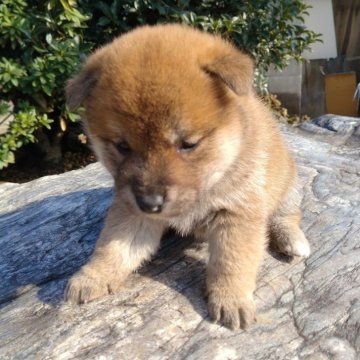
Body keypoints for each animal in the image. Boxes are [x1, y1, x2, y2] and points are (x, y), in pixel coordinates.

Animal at [64, 23, 310, 330]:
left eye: (189, 144)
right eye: (122, 146)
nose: (150, 203)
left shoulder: (238, 212)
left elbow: (232, 262)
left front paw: (232, 299)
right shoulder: (132, 211)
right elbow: (113, 246)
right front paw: (93, 275)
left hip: (288, 187)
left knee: (287, 215)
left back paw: (292, 239)